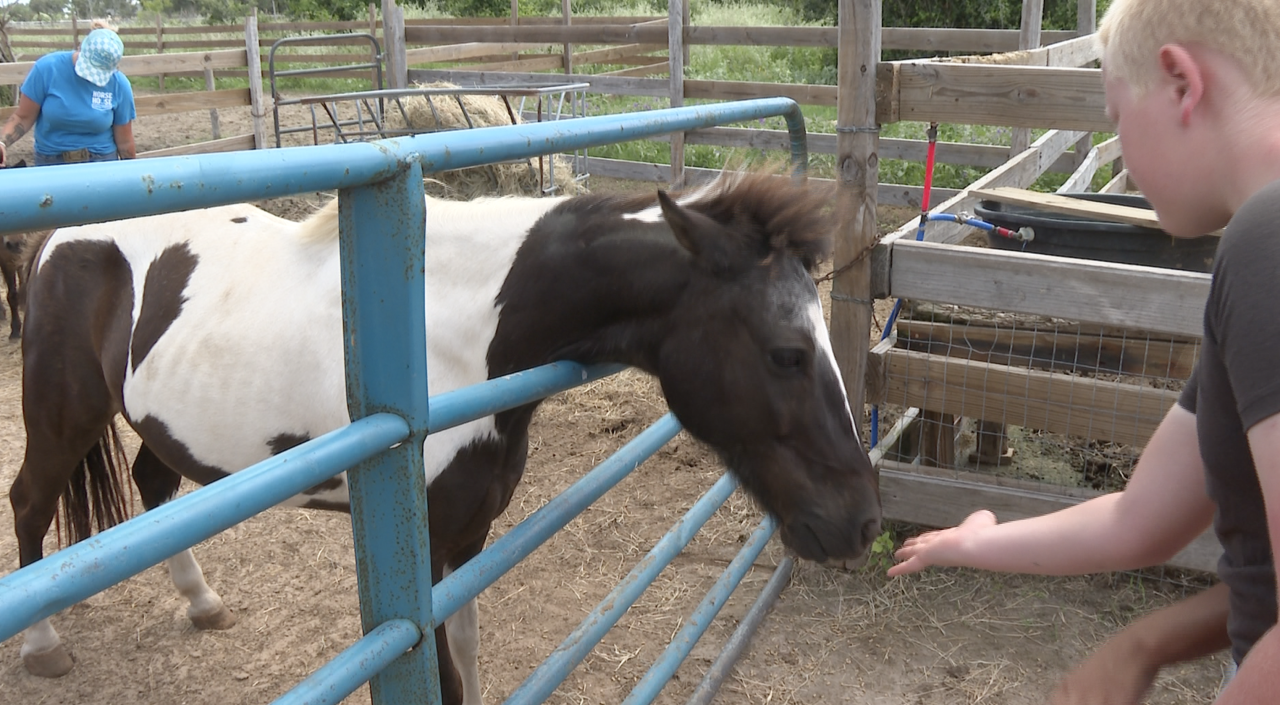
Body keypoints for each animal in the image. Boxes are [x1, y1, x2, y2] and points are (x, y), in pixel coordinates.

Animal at [7, 169, 882, 703]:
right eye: (787, 353)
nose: (862, 521)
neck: (448, 330)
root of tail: (55, 237)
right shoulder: (420, 551)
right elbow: (444, 674)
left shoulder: (469, 534)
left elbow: (467, 648)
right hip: (61, 415)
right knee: (29, 501)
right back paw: (43, 642)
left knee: (153, 490)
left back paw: (202, 602)